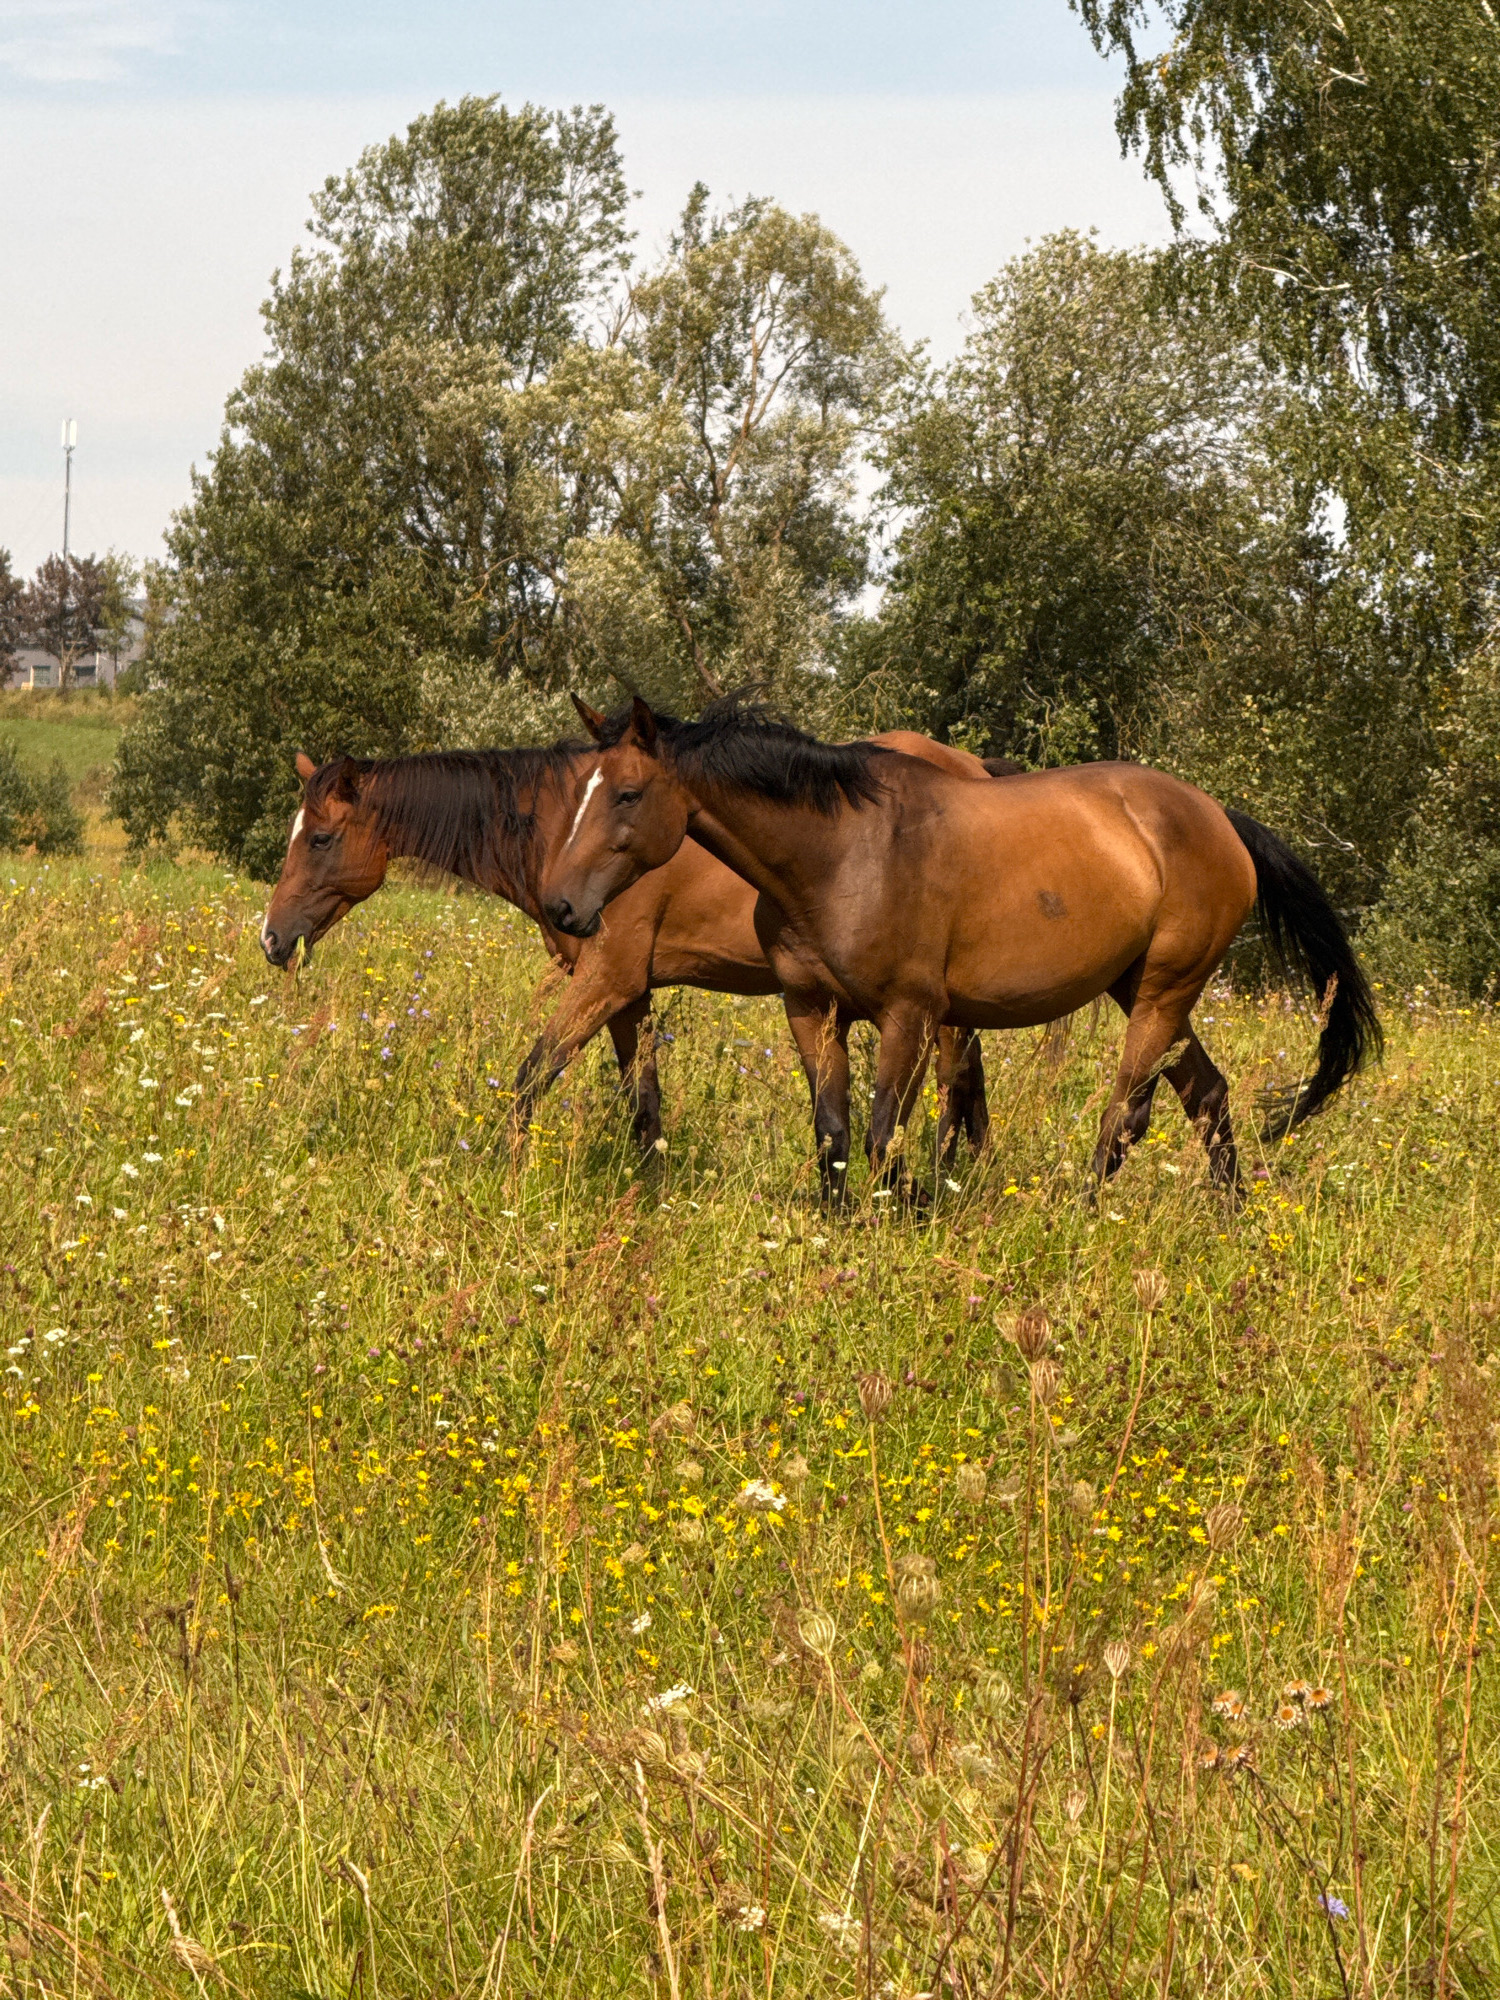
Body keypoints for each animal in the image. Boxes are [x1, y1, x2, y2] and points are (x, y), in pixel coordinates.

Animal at [258, 732, 1022, 1165]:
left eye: (319, 838)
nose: (271, 936)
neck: (564, 827)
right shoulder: (629, 995)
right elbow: (644, 1103)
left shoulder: (607, 980)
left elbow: (531, 1078)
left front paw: (501, 1170)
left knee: (955, 1086)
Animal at [536, 697, 1381, 1198]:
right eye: (580, 793)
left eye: (627, 794)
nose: (562, 906)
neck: (842, 856)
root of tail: (1220, 820)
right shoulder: (811, 1008)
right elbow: (834, 1133)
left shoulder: (909, 1015)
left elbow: (883, 1135)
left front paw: (904, 1208)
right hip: (1143, 990)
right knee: (1206, 1094)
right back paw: (1229, 1215)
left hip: (1162, 995)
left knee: (1124, 1116)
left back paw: (1086, 1218)